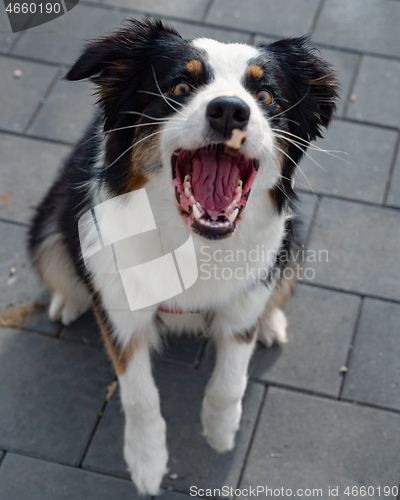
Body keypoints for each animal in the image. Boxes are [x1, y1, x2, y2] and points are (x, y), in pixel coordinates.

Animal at [27, 20, 338, 496]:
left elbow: (232, 377)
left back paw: (271, 322)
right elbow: (139, 396)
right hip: (50, 220)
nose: (229, 111)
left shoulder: (244, 299)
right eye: (180, 86)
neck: (192, 243)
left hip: (295, 240)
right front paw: (147, 463)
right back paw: (70, 299)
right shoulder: (122, 311)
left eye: (266, 96)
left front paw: (219, 431)